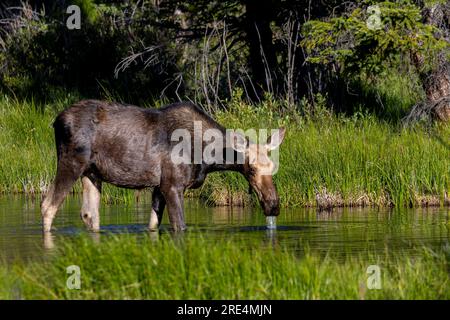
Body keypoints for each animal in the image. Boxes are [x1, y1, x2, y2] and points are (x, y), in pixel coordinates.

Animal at [41, 100, 284, 232]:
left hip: (92, 173)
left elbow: (152, 224)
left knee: (89, 214)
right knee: (47, 205)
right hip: (71, 163)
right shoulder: (172, 184)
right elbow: (180, 225)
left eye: (273, 166)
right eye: (251, 170)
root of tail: (56, 121)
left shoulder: (158, 186)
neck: (209, 158)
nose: (273, 205)